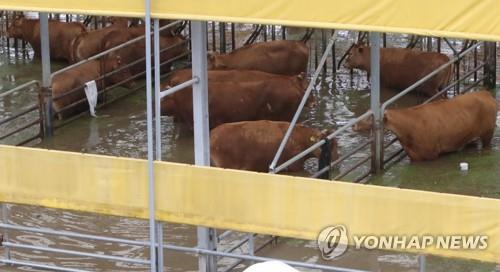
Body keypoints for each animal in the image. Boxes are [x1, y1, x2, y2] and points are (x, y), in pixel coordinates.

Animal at [354, 90, 498, 160]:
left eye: (369, 117)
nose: (354, 125)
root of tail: (485, 93)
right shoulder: (415, 157)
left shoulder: (431, 155)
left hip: (488, 133)